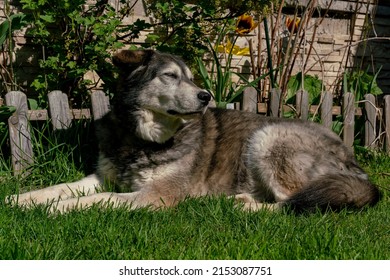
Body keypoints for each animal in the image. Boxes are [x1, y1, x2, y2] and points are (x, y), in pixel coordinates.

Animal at [11, 49, 380, 212]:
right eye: (171, 76)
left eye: (190, 77)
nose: (206, 96)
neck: (141, 140)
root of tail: (356, 168)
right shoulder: (100, 176)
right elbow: (61, 187)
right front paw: (23, 199)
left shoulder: (156, 195)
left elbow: (103, 199)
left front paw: (58, 210)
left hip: (269, 139)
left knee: (295, 204)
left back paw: (248, 207)